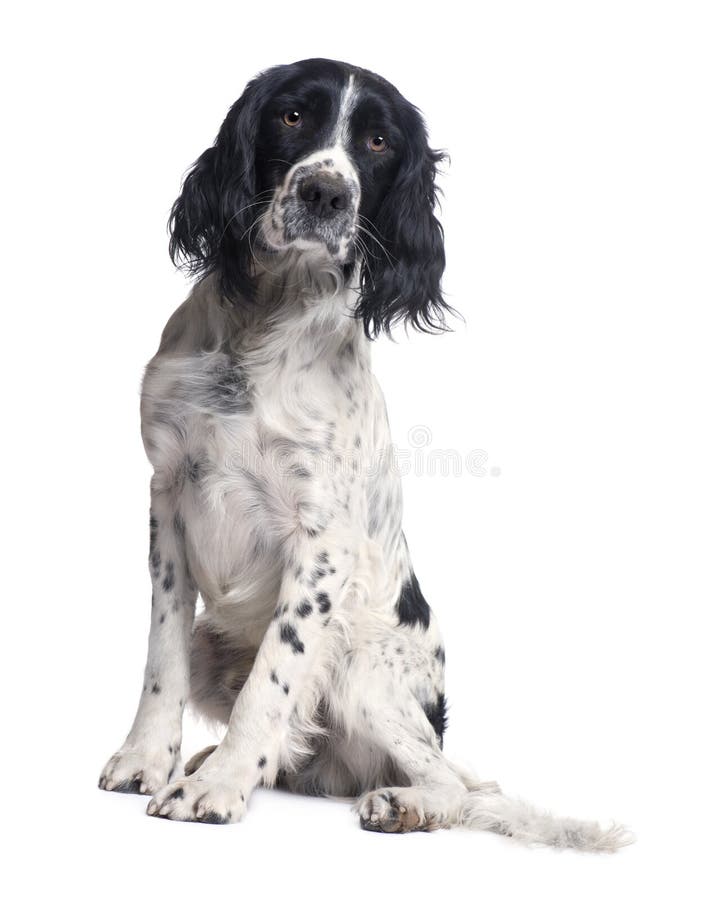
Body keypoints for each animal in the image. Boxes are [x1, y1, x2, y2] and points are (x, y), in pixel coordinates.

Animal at [99, 58, 636, 852]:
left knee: (455, 786)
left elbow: (273, 677)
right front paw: (148, 759)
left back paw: (397, 803)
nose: (325, 192)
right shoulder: (168, 495)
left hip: (361, 668)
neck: (265, 328)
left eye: (379, 141)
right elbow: (159, 654)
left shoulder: (321, 538)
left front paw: (218, 789)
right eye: (292, 116)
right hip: (216, 642)